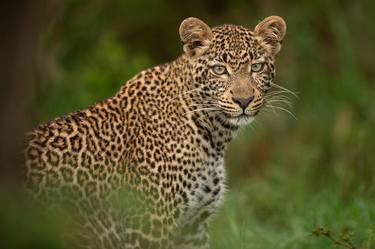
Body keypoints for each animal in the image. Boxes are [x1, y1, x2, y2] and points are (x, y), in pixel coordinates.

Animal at [24, 16, 288, 249]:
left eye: (256, 67)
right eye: (219, 69)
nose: (243, 100)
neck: (213, 134)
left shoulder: (193, 226)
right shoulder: (149, 225)